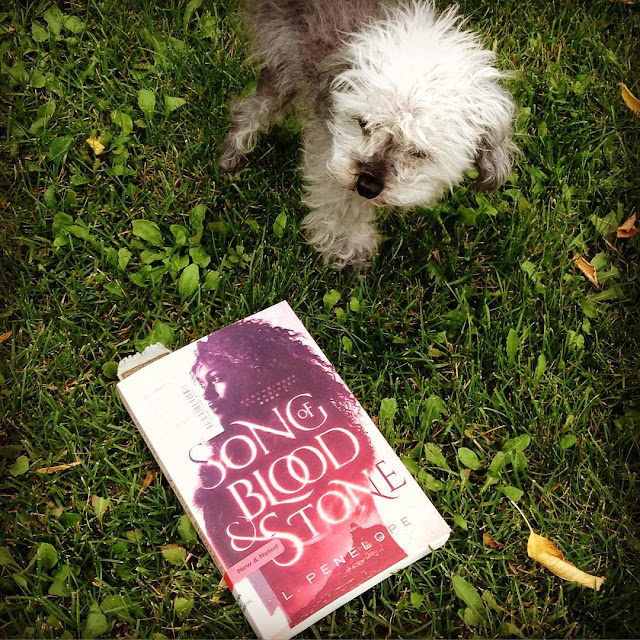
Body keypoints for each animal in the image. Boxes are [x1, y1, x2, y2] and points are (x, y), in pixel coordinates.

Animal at [219, 0, 516, 268]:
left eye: (418, 153)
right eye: (363, 124)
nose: (367, 185)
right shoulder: (329, 147)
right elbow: (340, 202)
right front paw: (347, 248)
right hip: (281, 63)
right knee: (251, 110)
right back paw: (232, 157)